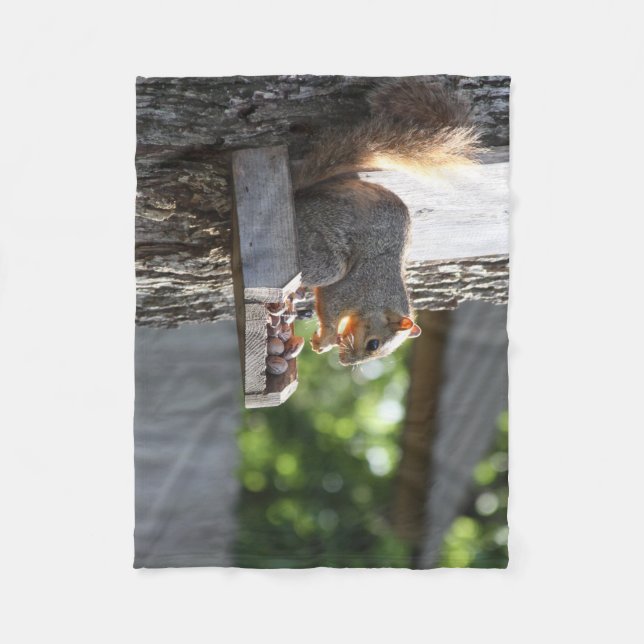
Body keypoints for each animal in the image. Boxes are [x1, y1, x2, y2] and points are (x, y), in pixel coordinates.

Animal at [292, 78, 482, 366]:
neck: (378, 300)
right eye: (373, 344)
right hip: (322, 248)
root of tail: (298, 199)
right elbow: (331, 306)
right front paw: (326, 338)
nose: (347, 362)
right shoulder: (356, 286)